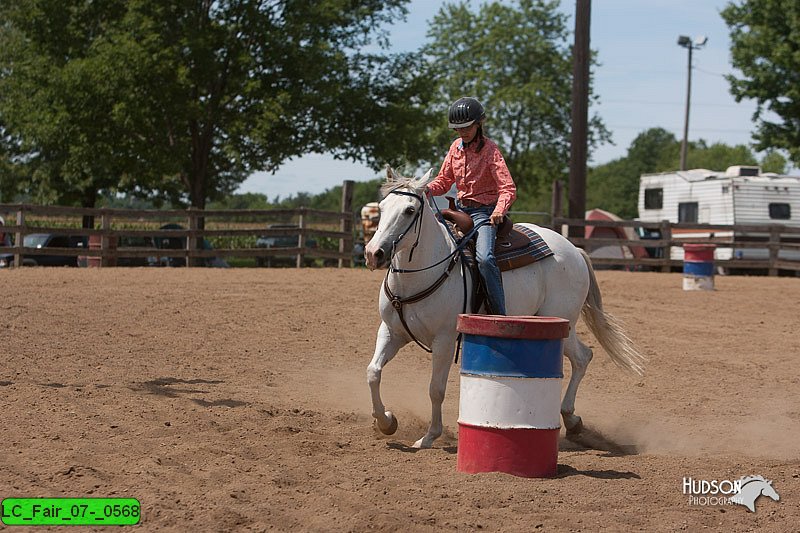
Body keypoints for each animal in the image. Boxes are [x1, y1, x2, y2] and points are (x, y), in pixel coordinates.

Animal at [362, 168, 644, 446]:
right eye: (382, 207)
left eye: (410, 210)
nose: (373, 253)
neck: (419, 276)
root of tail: (573, 249)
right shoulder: (391, 332)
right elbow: (373, 372)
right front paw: (386, 422)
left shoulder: (444, 340)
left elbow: (436, 389)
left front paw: (429, 437)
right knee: (583, 357)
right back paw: (573, 421)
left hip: (561, 321)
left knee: (583, 358)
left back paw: (571, 420)